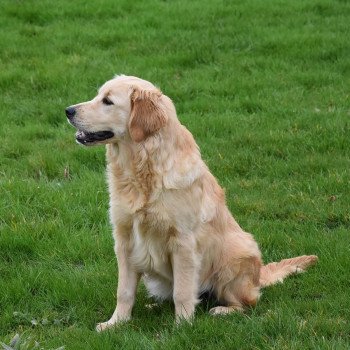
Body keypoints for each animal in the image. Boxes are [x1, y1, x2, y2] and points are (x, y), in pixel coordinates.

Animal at [65, 74, 318, 330]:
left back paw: (223, 310)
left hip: (235, 256)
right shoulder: (124, 239)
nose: (68, 110)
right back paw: (153, 306)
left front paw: (182, 326)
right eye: (98, 95)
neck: (142, 170)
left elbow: (183, 291)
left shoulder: (183, 243)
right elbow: (124, 291)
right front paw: (116, 323)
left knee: (248, 302)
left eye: (108, 101)